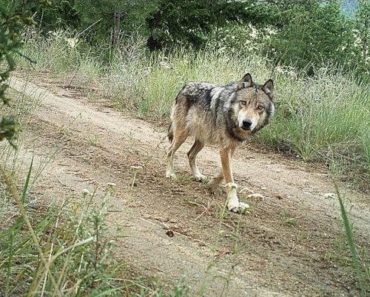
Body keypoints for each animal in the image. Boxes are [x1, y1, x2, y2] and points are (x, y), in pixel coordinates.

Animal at [165, 73, 274, 213]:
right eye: (243, 103)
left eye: (259, 107)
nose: (246, 123)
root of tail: (185, 86)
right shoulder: (224, 149)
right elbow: (230, 178)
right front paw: (233, 203)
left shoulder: (232, 148)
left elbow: (224, 172)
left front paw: (212, 184)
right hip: (182, 135)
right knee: (170, 151)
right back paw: (170, 173)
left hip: (202, 140)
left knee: (190, 154)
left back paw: (197, 175)